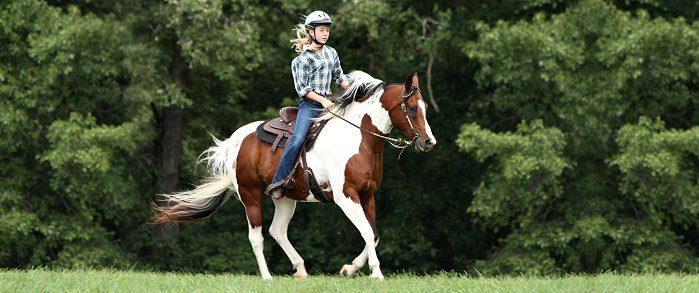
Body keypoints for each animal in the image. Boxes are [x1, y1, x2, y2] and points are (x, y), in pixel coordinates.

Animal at [154, 70, 438, 278]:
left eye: (424, 105)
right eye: (412, 108)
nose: (428, 142)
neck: (358, 138)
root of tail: (234, 141)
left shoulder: (367, 195)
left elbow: (374, 234)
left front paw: (349, 269)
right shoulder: (346, 196)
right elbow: (367, 232)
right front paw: (376, 274)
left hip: (285, 197)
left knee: (277, 230)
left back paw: (300, 269)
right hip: (250, 195)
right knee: (256, 236)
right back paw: (267, 277)